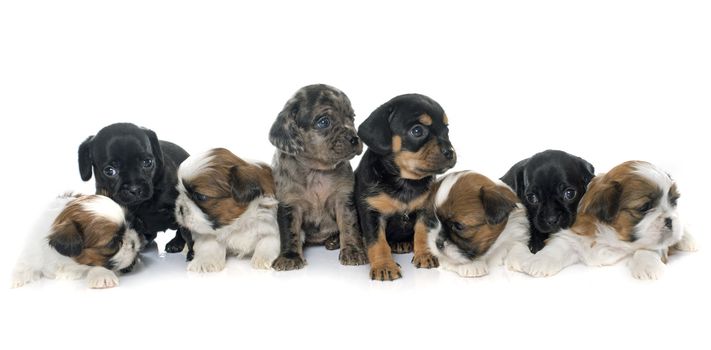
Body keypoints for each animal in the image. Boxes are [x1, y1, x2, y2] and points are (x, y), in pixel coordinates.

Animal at [12, 193, 142, 288]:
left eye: (130, 225)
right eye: (113, 243)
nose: (134, 243)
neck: (68, 261)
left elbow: (96, 265)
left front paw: (103, 276)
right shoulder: (34, 251)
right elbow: (25, 264)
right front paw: (16, 278)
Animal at [268, 83, 368, 270]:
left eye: (351, 118)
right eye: (324, 122)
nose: (355, 138)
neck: (316, 171)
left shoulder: (343, 199)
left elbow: (349, 226)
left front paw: (353, 250)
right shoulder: (289, 203)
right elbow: (290, 232)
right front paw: (290, 256)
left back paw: (334, 241)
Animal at [354, 94, 456, 280]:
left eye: (446, 130)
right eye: (417, 131)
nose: (450, 152)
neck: (405, 181)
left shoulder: (425, 211)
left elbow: (422, 234)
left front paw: (424, 255)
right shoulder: (372, 213)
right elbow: (378, 243)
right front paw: (384, 266)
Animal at [524, 161, 700, 278]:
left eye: (674, 202)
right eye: (644, 207)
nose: (669, 220)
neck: (612, 238)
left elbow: (648, 248)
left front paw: (648, 266)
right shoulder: (573, 235)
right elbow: (559, 246)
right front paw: (539, 261)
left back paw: (688, 241)